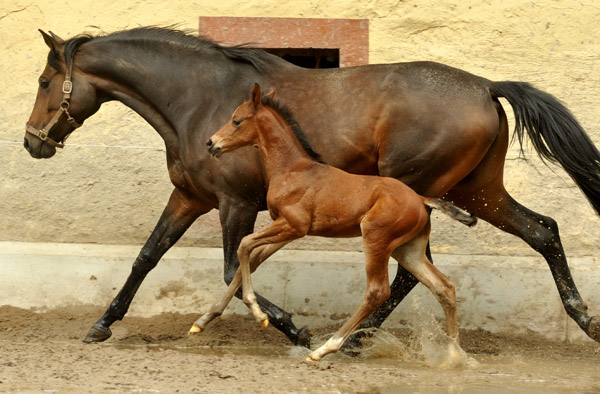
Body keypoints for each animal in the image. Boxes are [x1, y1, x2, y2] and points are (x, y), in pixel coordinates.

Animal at [195, 84, 476, 362]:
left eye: (236, 120)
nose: (211, 143)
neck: (292, 169)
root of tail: (421, 198)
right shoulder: (288, 231)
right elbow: (252, 260)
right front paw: (203, 320)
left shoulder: (293, 225)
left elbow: (244, 245)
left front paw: (258, 314)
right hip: (407, 250)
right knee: (443, 287)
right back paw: (454, 354)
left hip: (376, 239)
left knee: (377, 291)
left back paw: (326, 348)